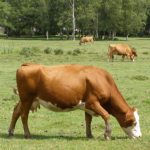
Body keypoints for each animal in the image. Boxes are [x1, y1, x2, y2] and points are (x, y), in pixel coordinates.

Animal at [8, 63, 142, 139]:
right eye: (134, 122)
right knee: (24, 115)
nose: (140, 136)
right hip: (27, 98)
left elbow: (88, 120)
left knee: (16, 111)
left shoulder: (87, 106)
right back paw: (27, 134)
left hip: (26, 99)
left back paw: (11, 132)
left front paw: (89, 135)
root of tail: (27, 65)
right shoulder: (92, 103)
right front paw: (107, 135)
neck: (103, 81)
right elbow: (106, 115)